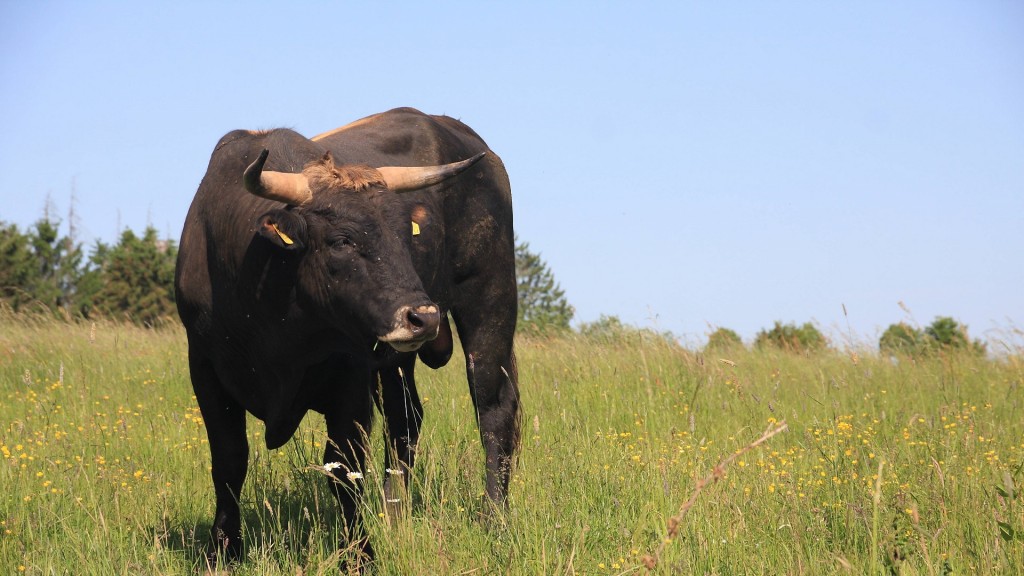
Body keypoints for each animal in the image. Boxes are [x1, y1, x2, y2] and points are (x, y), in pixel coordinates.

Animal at [174, 106, 520, 557]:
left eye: (404, 235)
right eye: (341, 240)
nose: (424, 316)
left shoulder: (351, 378)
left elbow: (345, 468)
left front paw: (358, 554)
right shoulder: (205, 369)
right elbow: (229, 461)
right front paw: (223, 549)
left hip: (490, 301)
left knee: (493, 409)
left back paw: (494, 518)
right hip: (397, 360)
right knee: (406, 420)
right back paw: (394, 515)